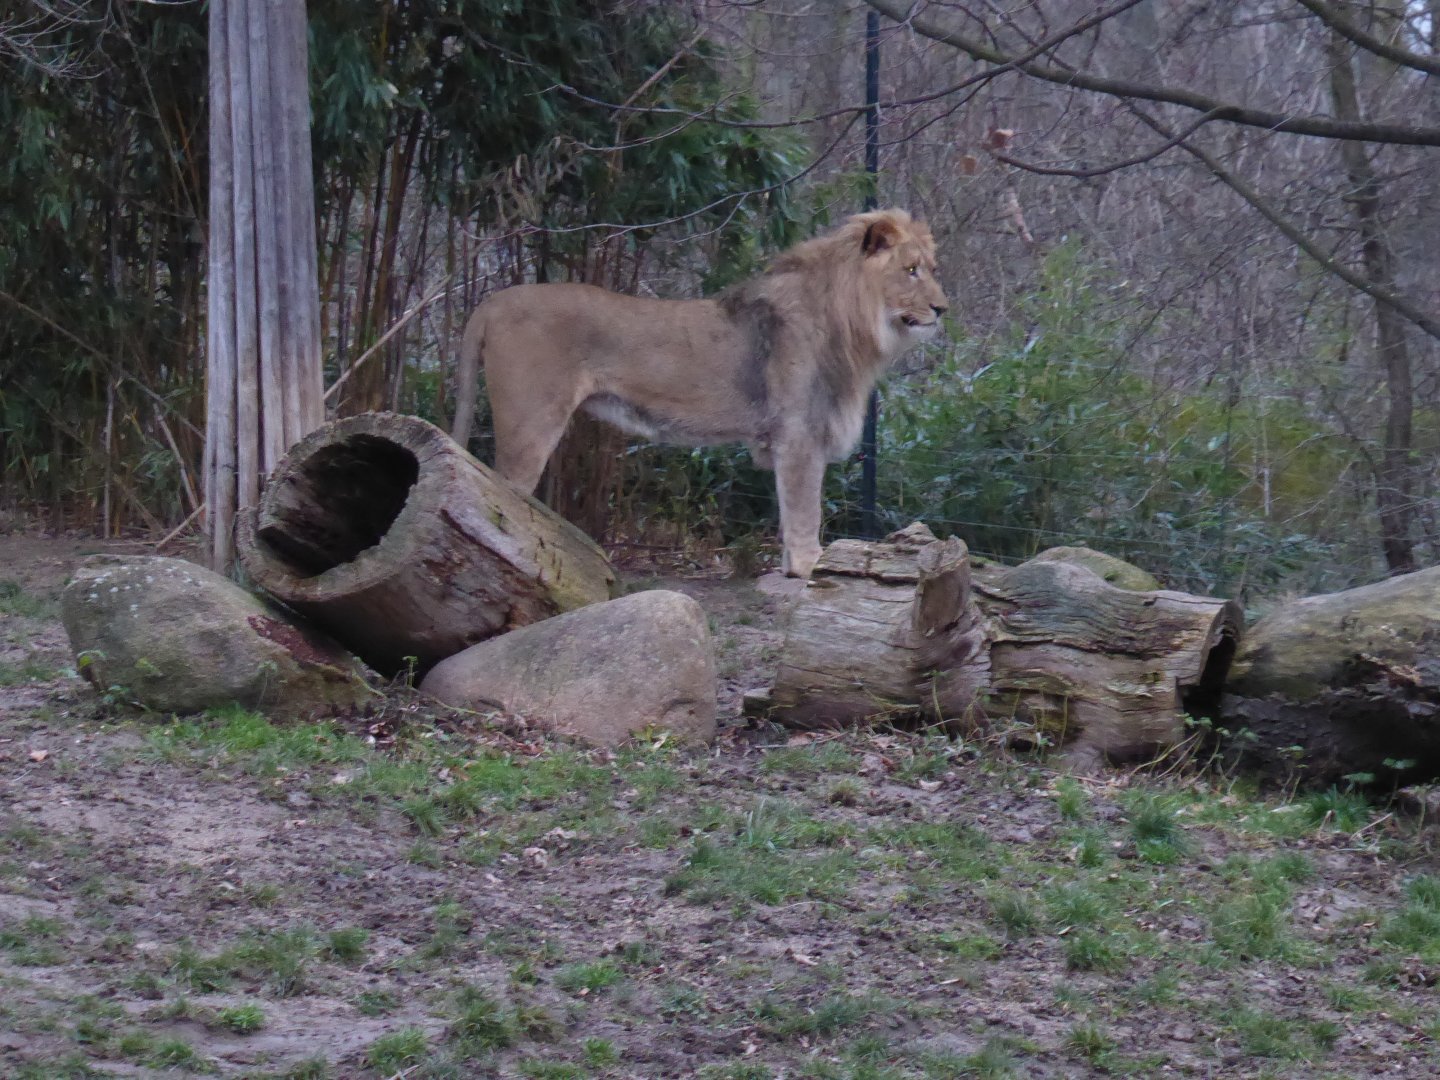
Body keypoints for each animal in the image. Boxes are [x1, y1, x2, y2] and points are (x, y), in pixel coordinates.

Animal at [451, 209, 949, 578]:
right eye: (910, 271)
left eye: (931, 270)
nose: (943, 308)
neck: (856, 325)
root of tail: (492, 301)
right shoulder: (799, 435)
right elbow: (805, 512)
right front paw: (812, 568)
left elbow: (790, 514)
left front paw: (792, 570)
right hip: (530, 425)